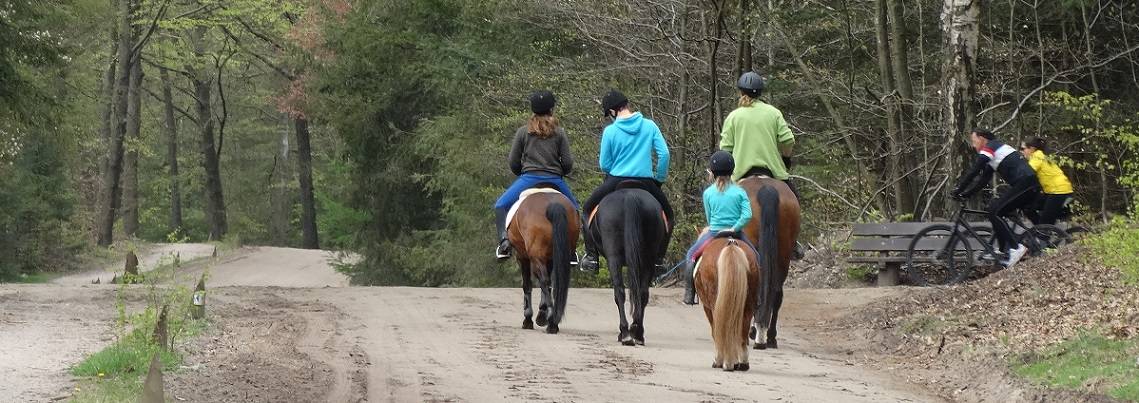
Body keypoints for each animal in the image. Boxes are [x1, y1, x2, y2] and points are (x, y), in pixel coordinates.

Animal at [507, 188, 578, 334]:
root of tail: (552, 203)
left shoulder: (523, 256)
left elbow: (527, 285)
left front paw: (529, 319)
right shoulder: (549, 259)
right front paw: (541, 314)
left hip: (536, 257)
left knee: (544, 281)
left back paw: (551, 322)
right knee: (552, 283)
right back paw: (552, 319)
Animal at [587, 184, 665, 343]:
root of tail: (630, 196)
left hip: (614, 258)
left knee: (619, 291)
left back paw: (625, 333)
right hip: (648, 259)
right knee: (642, 293)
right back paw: (637, 332)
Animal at [687, 235, 760, 371]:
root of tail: (731, 244)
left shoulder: (708, 308)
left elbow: (715, 330)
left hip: (715, 304)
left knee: (720, 329)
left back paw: (724, 362)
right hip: (748, 305)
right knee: (742, 333)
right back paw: (742, 363)